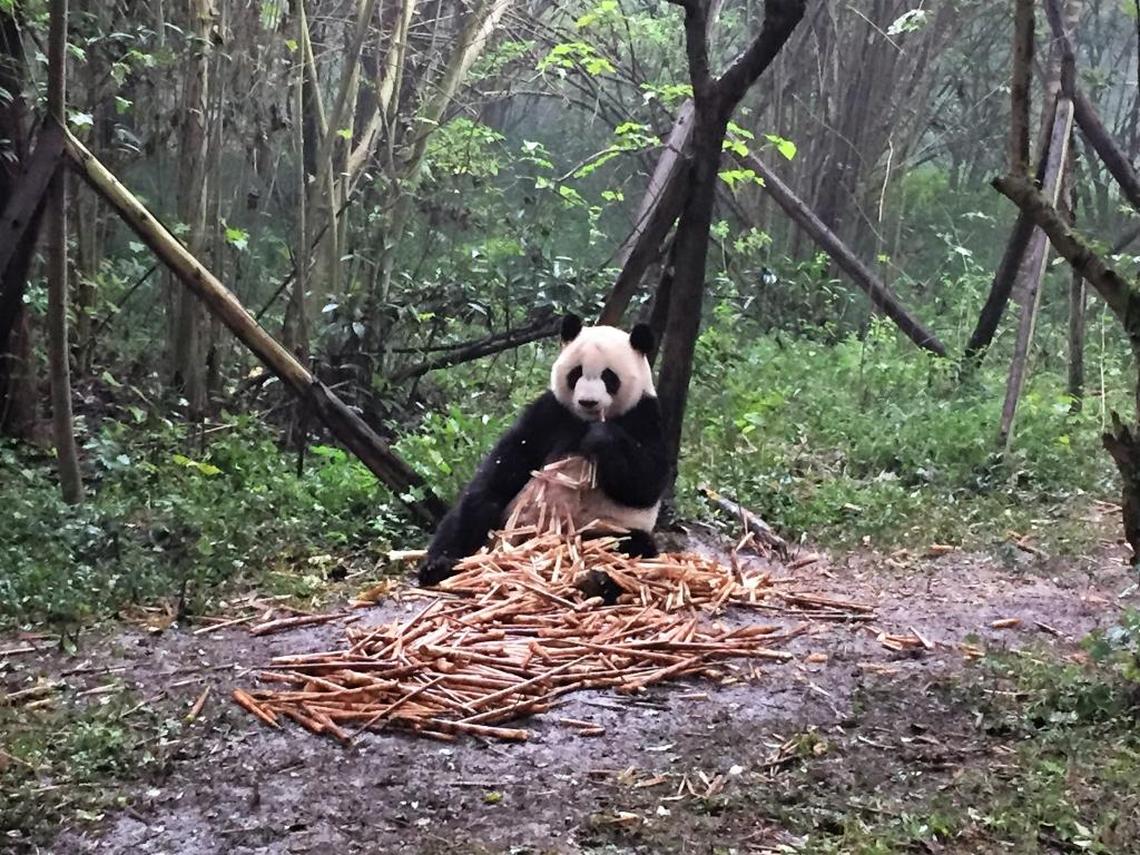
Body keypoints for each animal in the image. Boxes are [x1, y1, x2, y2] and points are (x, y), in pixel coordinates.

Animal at [417, 313, 668, 586]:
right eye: (576, 373)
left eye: (609, 377)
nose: (588, 402)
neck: (585, 420)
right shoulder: (550, 412)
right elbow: (508, 462)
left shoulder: (645, 415)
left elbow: (646, 483)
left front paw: (600, 437)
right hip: (506, 520)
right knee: (472, 512)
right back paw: (437, 566)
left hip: (606, 525)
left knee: (629, 543)